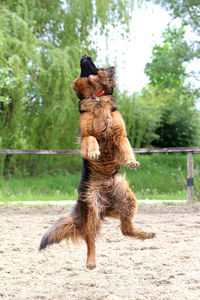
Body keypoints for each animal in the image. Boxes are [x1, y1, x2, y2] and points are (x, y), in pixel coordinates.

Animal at [38, 54, 155, 270]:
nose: (84, 55)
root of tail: (107, 203)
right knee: (90, 240)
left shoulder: (118, 134)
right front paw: (94, 152)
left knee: (125, 229)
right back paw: (91, 261)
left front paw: (131, 161)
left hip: (128, 200)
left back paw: (145, 234)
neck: (95, 96)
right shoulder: (84, 135)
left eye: (96, 64)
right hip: (92, 209)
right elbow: (92, 139)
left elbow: (125, 146)